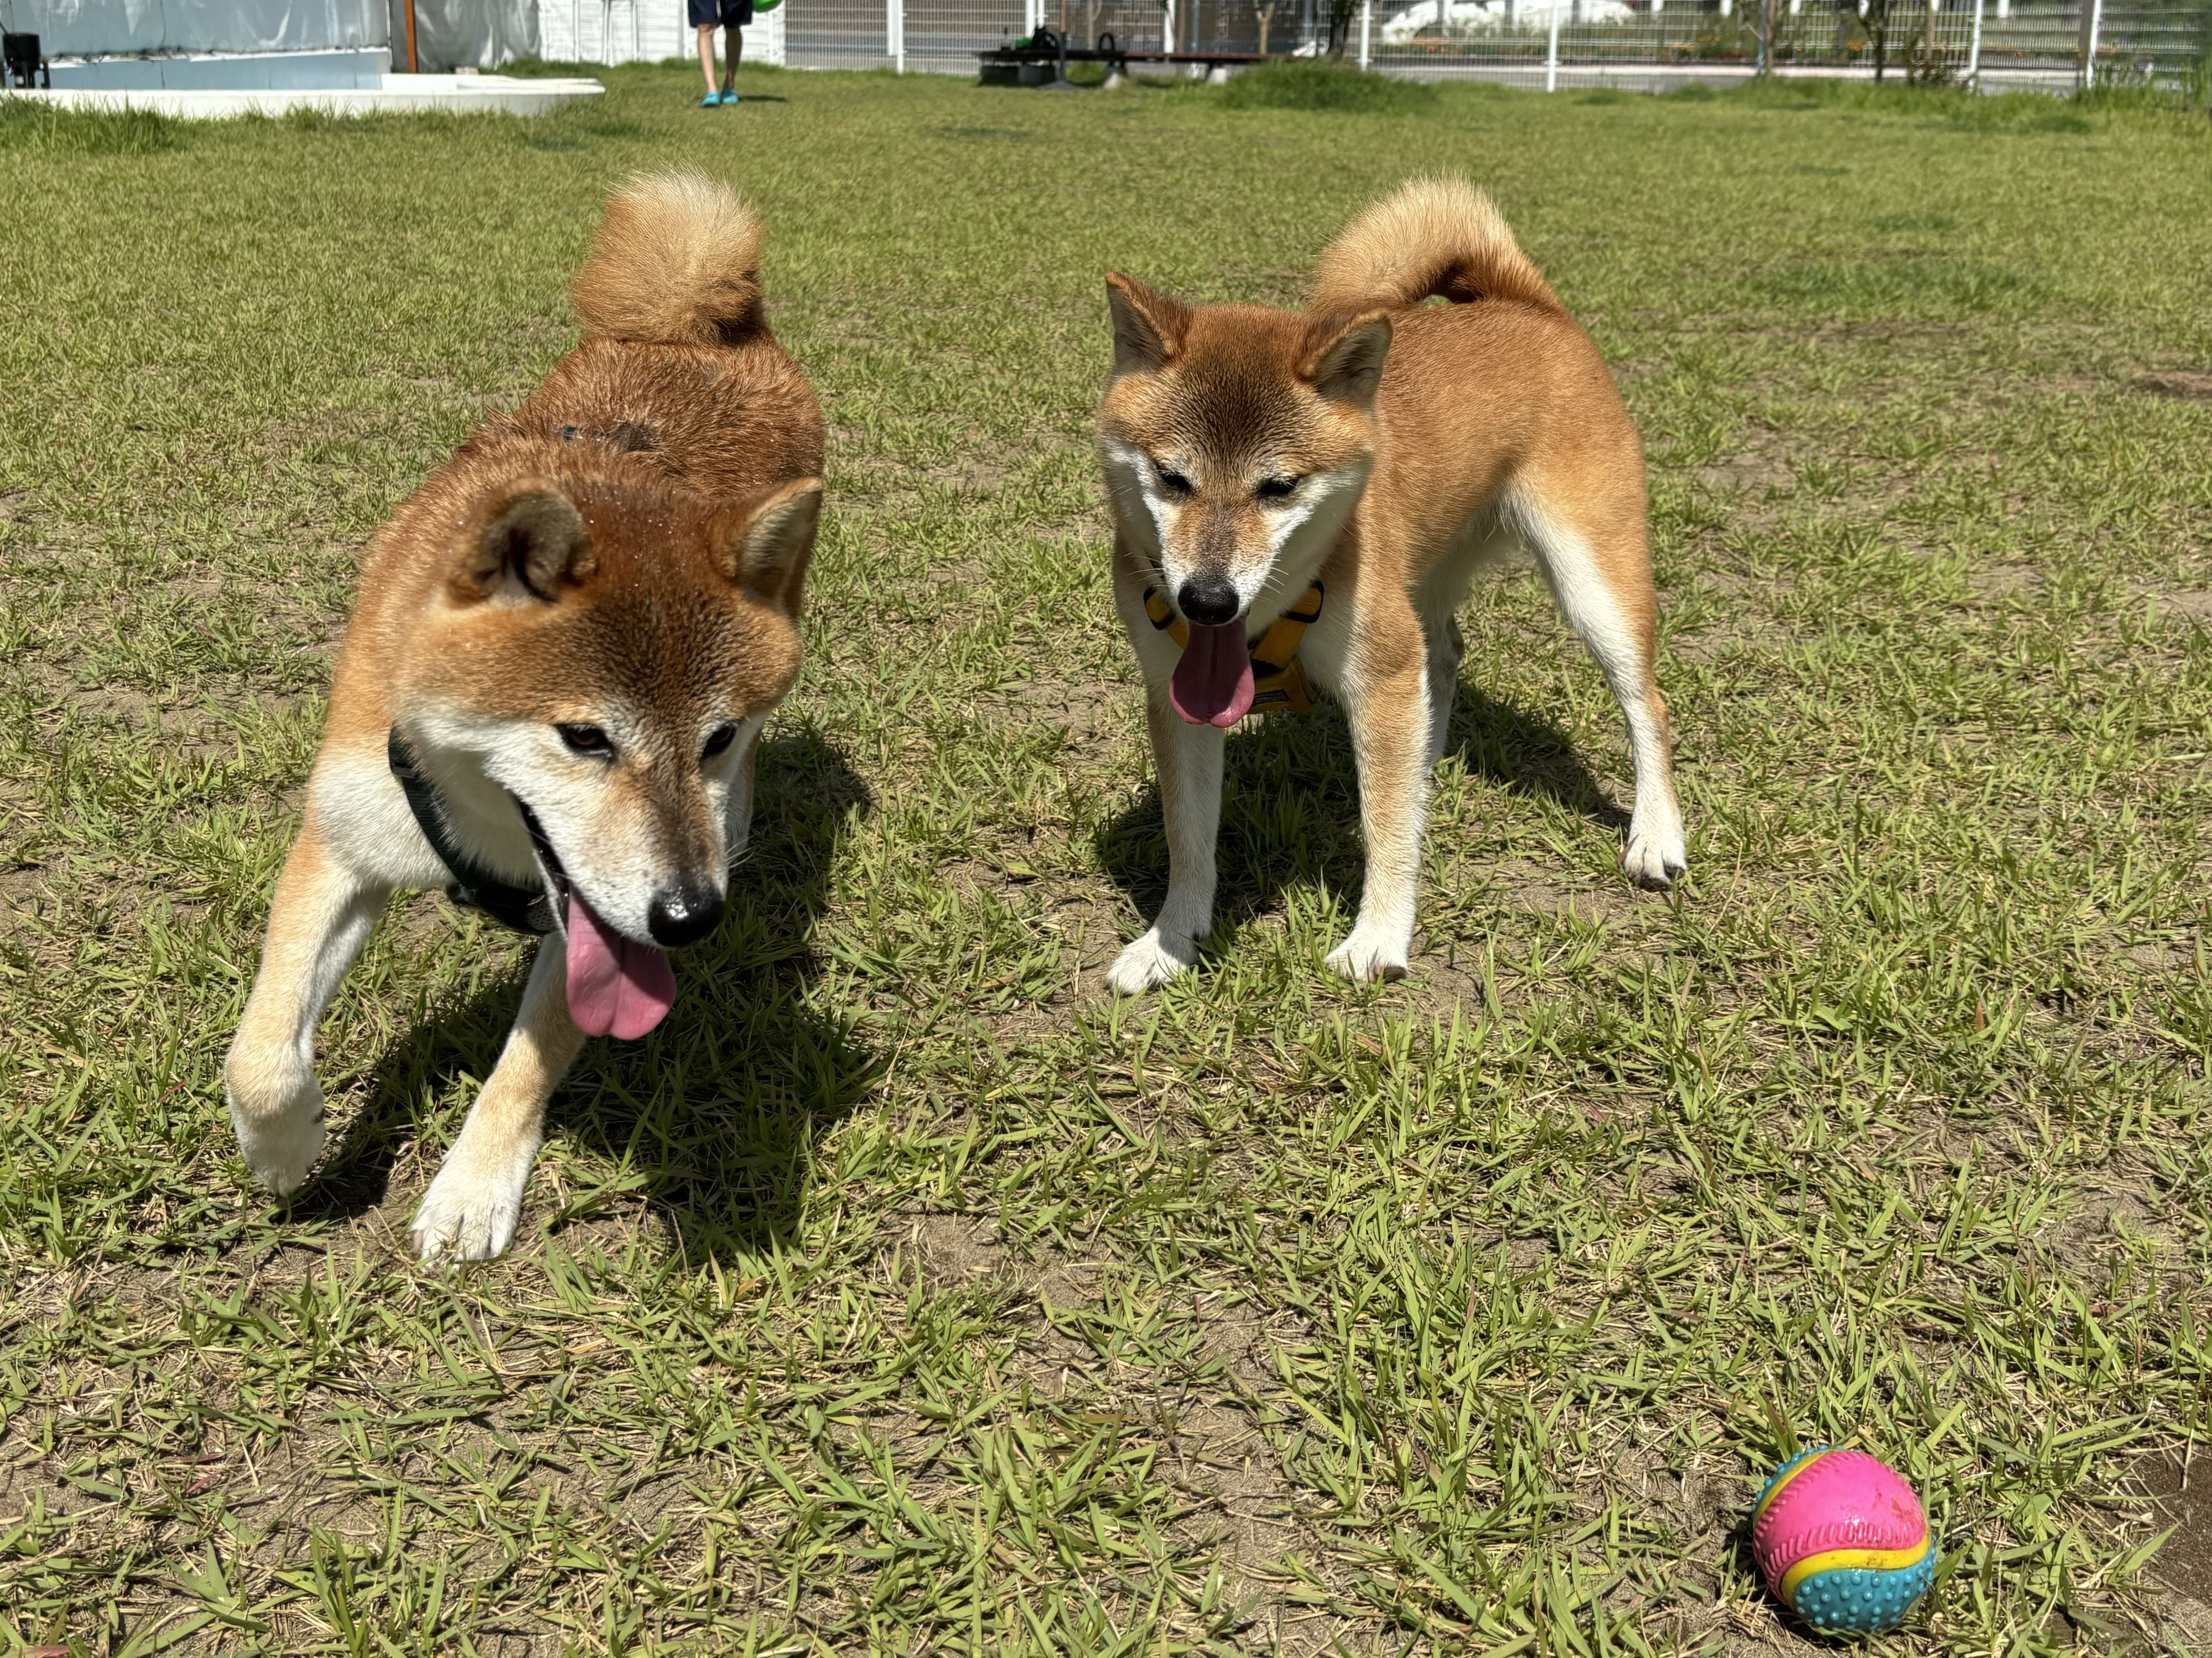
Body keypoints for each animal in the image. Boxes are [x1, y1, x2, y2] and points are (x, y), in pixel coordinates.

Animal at [224, 173, 825, 1261]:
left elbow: (530, 1058)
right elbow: (261, 1053)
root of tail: (696, 330)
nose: (691, 915)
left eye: (710, 738)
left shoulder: (600, 922)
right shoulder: (346, 835)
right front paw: (286, 1149)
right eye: (583, 738)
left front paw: (472, 1187)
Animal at [1098, 177, 1685, 993]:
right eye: (1171, 478)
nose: (1205, 602)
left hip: (1592, 583)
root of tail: (1528, 304)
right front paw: (1170, 943)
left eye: (1278, 487)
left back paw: (1655, 835)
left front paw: (1377, 937)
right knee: (1441, 658)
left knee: (1645, 704)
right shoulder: (1177, 693)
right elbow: (1189, 837)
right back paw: (1428, 765)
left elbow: (1384, 832)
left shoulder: (1377, 675)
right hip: (1422, 578)